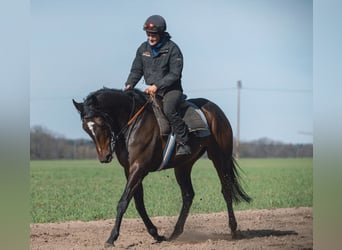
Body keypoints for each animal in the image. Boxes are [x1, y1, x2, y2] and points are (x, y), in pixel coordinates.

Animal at [72, 87, 250, 246]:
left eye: (101, 124)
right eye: (86, 128)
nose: (104, 157)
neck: (133, 124)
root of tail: (216, 110)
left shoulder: (139, 168)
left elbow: (123, 202)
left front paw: (111, 238)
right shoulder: (129, 170)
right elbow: (138, 204)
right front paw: (156, 234)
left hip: (219, 158)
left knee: (226, 190)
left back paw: (233, 230)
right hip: (183, 166)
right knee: (188, 195)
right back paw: (175, 233)